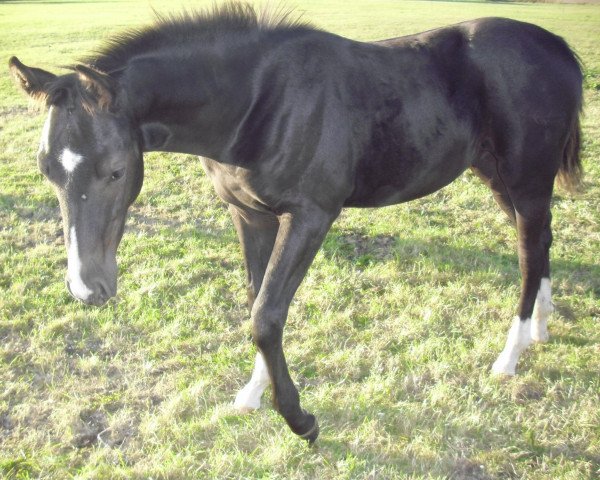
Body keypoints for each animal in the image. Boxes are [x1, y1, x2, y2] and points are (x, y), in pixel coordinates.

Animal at [9, 2, 580, 442]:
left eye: (116, 171)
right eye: (46, 171)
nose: (88, 288)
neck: (258, 101)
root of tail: (557, 46)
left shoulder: (310, 215)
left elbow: (266, 315)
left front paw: (300, 420)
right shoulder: (250, 215)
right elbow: (256, 302)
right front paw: (252, 394)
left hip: (526, 178)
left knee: (529, 251)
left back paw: (509, 356)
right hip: (496, 175)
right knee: (542, 240)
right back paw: (541, 328)